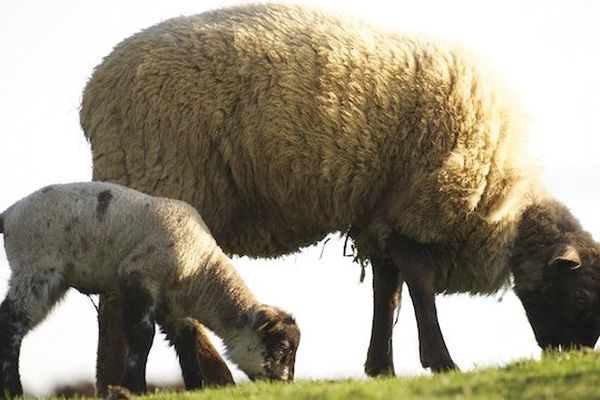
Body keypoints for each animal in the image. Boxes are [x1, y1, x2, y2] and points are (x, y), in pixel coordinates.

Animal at [0, 181, 300, 396]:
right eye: (281, 348)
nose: (284, 386)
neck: (201, 271)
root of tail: (9, 214)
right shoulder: (139, 276)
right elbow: (143, 335)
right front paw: (135, 387)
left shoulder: (172, 304)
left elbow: (187, 336)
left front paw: (195, 387)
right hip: (36, 267)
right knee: (11, 322)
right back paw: (14, 390)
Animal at [81, 2, 600, 390]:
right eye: (579, 297)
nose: (568, 357)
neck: (504, 210)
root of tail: (94, 92)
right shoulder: (415, 204)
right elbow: (419, 282)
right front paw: (440, 361)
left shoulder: (381, 212)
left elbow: (387, 290)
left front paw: (381, 368)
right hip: (162, 176)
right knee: (131, 302)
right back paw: (161, 380)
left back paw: (139, 381)